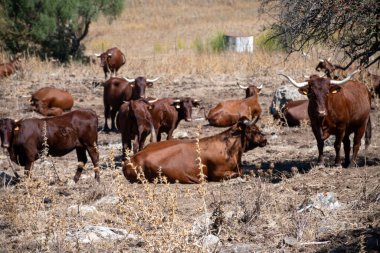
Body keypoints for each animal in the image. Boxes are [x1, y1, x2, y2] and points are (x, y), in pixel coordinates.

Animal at [122, 116, 268, 184]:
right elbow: (240, 173)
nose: (265, 140)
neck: (229, 149)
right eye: (253, 129)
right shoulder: (218, 174)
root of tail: (130, 160)